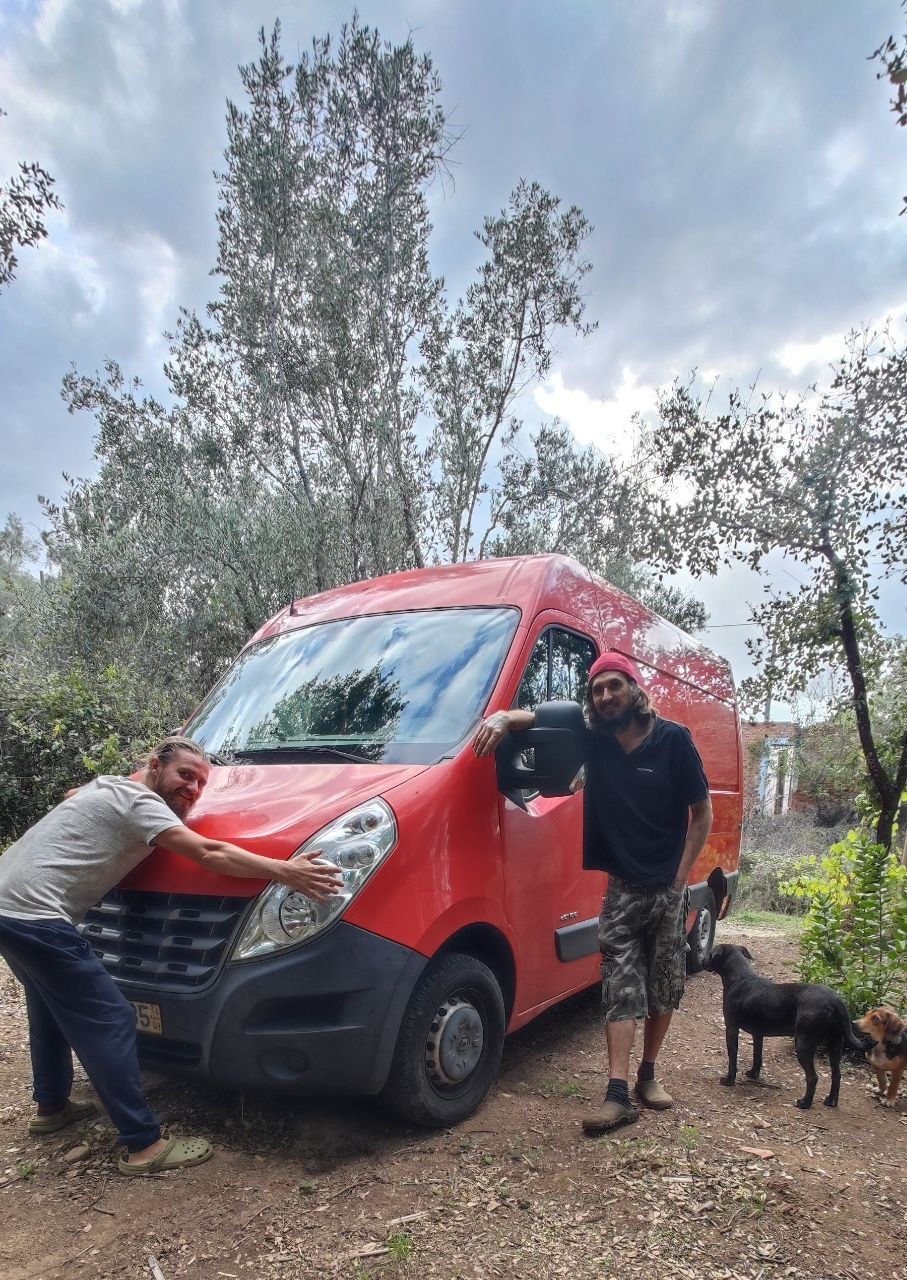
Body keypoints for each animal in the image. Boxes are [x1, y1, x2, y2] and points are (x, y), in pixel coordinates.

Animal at [706, 942, 859, 1111]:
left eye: (710, 953)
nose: (702, 961)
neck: (739, 979)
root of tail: (836, 1001)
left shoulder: (731, 1028)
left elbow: (732, 1057)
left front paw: (728, 1080)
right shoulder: (758, 1034)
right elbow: (757, 1056)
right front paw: (753, 1074)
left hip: (804, 1043)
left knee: (813, 1077)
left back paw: (804, 1103)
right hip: (835, 1042)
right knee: (836, 1074)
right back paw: (831, 1101)